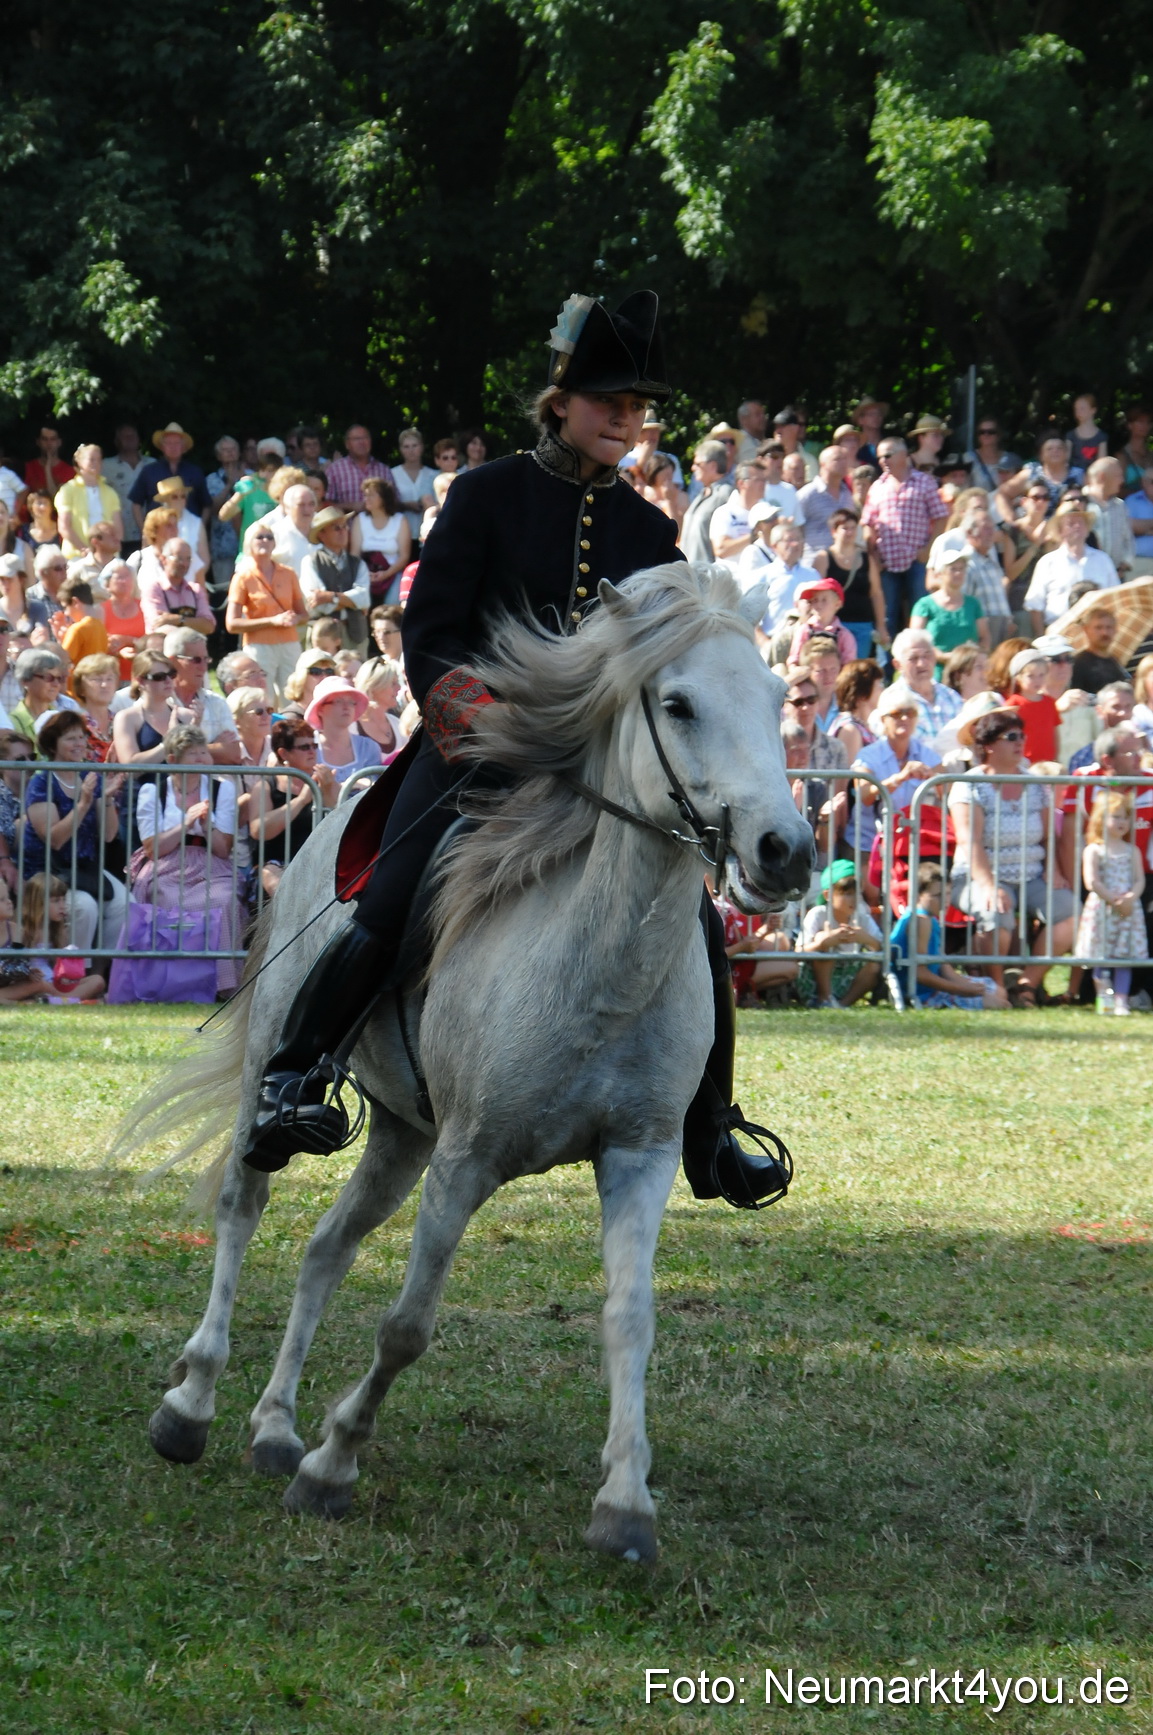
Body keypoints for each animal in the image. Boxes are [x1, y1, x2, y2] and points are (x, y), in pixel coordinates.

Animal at [114, 561, 813, 1563]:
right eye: (677, 703)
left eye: (774, 697)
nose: (783, 850)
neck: (593, 965)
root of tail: (327, 820)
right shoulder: (466, 1158)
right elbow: (408, 1324)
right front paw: (335, 1465)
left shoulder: (635, 1157)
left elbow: (630, 1319)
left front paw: (624, 1503)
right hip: (279, 1086)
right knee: (243, 1208)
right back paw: (193, 1404)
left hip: (402, 1134)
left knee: (325, 1247)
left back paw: (276, 1425)